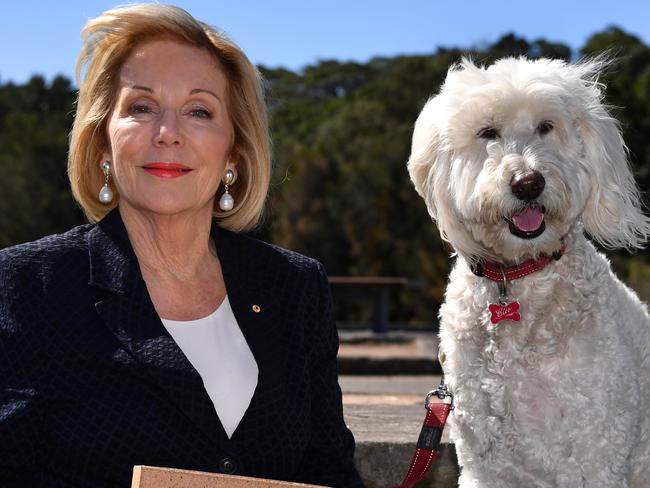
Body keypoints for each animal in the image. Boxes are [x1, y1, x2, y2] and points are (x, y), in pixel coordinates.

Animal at [408, 58, 648, 488]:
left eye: (546, 126)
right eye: (487, 132)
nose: (528, 183)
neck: (519, 275)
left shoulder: (597, 455)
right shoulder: (485, 465)